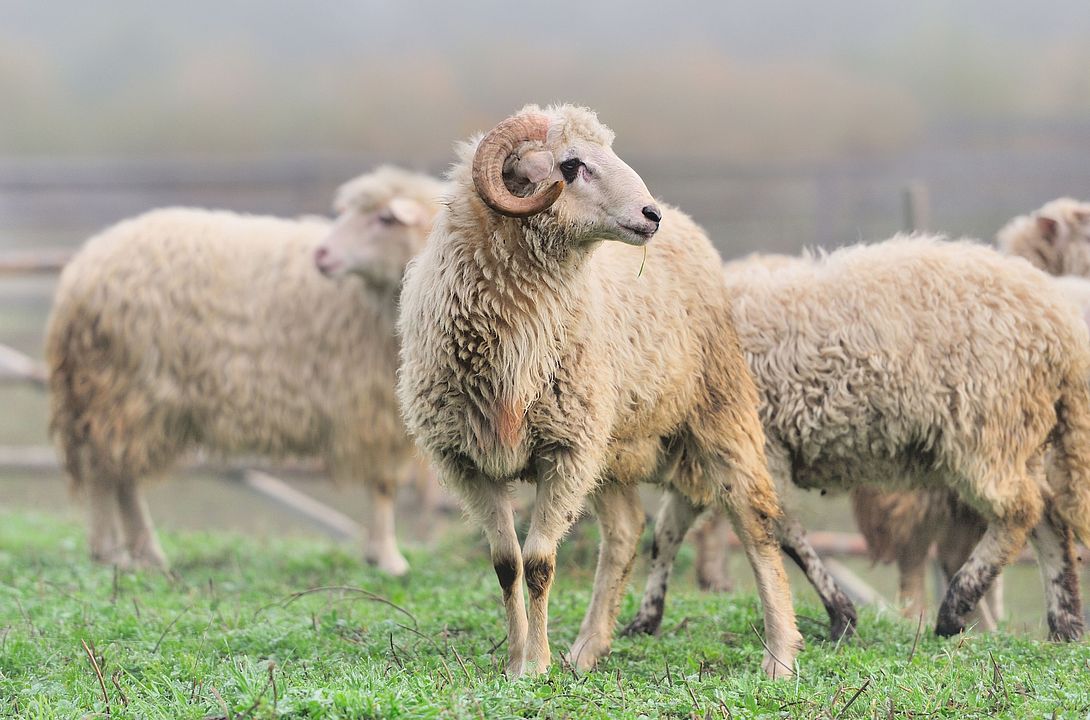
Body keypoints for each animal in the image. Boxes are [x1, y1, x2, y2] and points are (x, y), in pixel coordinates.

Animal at [46, 165, 446, 575]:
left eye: (385, 219)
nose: (321, 254)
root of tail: (80, 272)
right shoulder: (373, 407)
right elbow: (383, 486)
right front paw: (388, 558)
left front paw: (379, 554)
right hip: (127, 390)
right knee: (110, 471)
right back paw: (123, 551)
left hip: (110, 393)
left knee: (112, 471)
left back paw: (127, 552)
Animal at [396, 104, 802, 679]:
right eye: (571, 165)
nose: (651, 215)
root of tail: (691, 227)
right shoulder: (469, 461)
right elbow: (506, 564)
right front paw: (517, 661)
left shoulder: (564, 451)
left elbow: (539, 563)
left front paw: (536, 665)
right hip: (608, 442)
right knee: (627, 530)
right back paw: (587, 650)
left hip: (720, 411)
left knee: (756, 521)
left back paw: (781, 657)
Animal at [628, 235, 1090, 644]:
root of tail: (1062, 327)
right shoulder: (705, 459)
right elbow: (667, 533)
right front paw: (645, 620)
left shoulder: (761, 447)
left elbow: (781, 529)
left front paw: (841, 616)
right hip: (1019, 432)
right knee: (1048, 515)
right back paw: (1063, 624)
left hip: (986, 425)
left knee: (1020, 510)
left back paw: (956, 607)